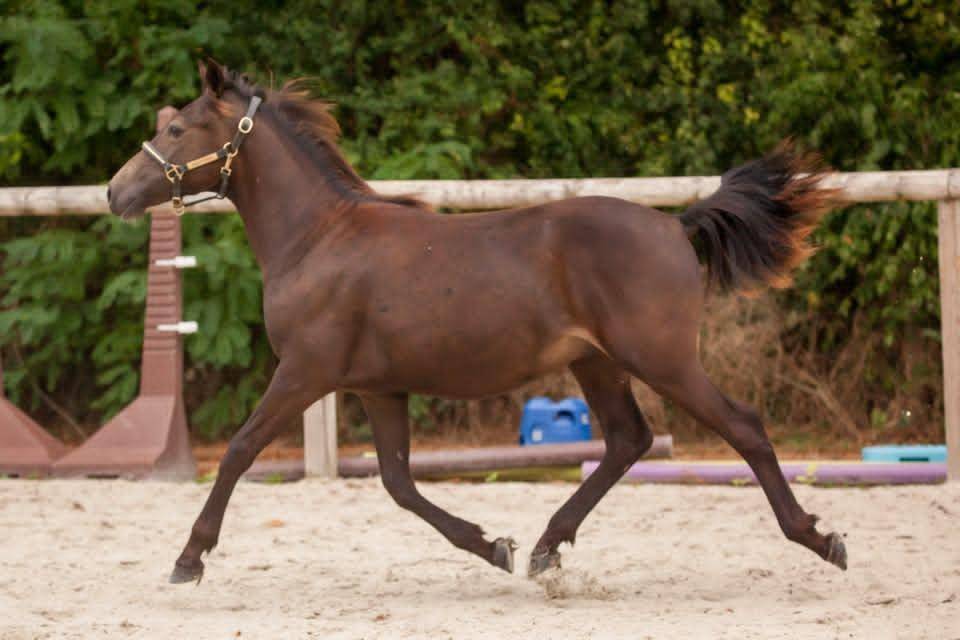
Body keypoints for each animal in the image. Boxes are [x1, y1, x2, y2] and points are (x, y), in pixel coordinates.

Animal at [107, 61, 846, 585]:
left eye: (178, 130)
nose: (115, 192)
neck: (318, 238)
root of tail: (674, 224)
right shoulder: (378, 386)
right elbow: (399, 482)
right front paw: (494, 546)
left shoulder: (306, 373)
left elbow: (238, 451)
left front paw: (189, 559)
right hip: (597, 361)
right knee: (628, 440)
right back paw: (546, 548)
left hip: (662, 359)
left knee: (742, 427)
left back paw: (820, 537)